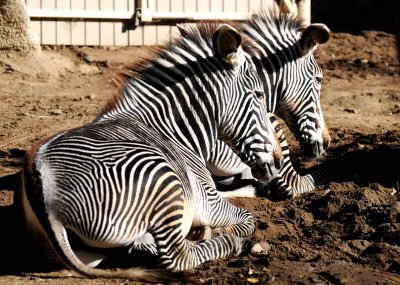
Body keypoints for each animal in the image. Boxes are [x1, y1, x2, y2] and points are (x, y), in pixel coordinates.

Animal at [20, 22, 282, 282]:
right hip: (164, 181)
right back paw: (238, 243)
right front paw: (219, 230)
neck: (176, 133)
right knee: (177, 257)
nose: (278, 161)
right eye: (259, 94)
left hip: (88, 252)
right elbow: (247, 218)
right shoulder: (208, 200)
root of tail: (45, 197)